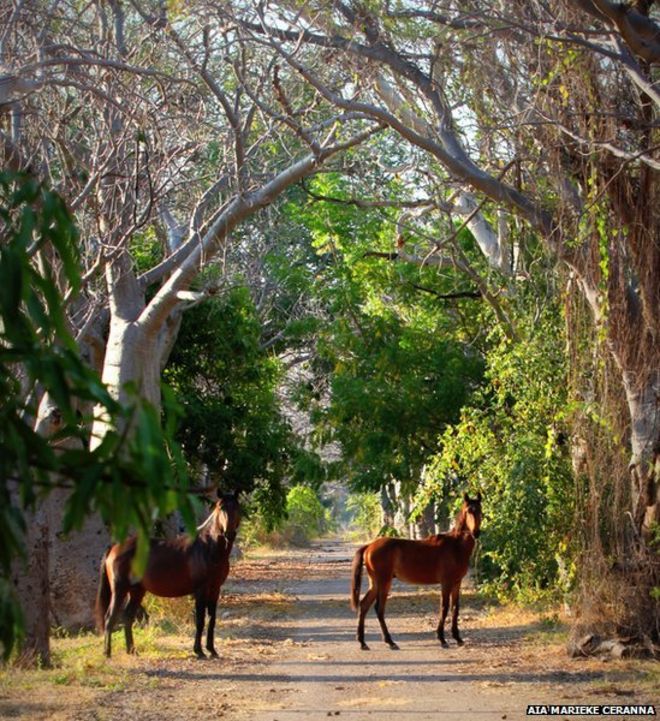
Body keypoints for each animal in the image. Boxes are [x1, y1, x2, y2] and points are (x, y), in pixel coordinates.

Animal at [96, 492, 241, 656]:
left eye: (237, 507)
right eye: (221, 507)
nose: (229, 534)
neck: (209, 548)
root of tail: (114, 547)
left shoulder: (215, 589)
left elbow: (211, 619)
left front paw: (212, 650)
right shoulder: (200, 590)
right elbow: (200, 620)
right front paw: (199, 651)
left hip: (137, 591)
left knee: (128, 617)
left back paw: (132, 651)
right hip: (119, 590)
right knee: (110, 618)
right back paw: (107, 653)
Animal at [350, 492, 484, 648]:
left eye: (480, 510)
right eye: (468, 511)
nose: (476, 533)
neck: (455, 546)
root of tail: (369, 546)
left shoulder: (457, 583)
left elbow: (455, 608)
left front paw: (457, 638)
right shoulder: (446, 583)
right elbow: (444, 608)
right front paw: (441, 638)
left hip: (376, 583)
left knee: (364, 605)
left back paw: (363, 642)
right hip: (384, 582)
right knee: (379, 608)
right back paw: (389, 641)